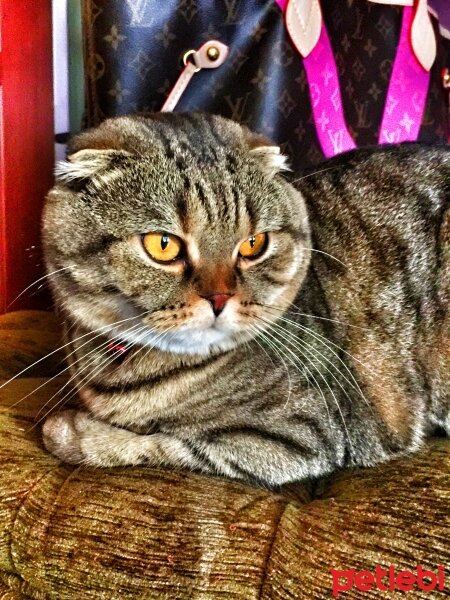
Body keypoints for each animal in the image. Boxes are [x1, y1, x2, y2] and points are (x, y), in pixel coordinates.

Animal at [40, 111, 448, 488]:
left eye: (253, 244)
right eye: (163, 244)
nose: (220, 298)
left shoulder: (298, 436)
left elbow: (165, 443)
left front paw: (71, 432)